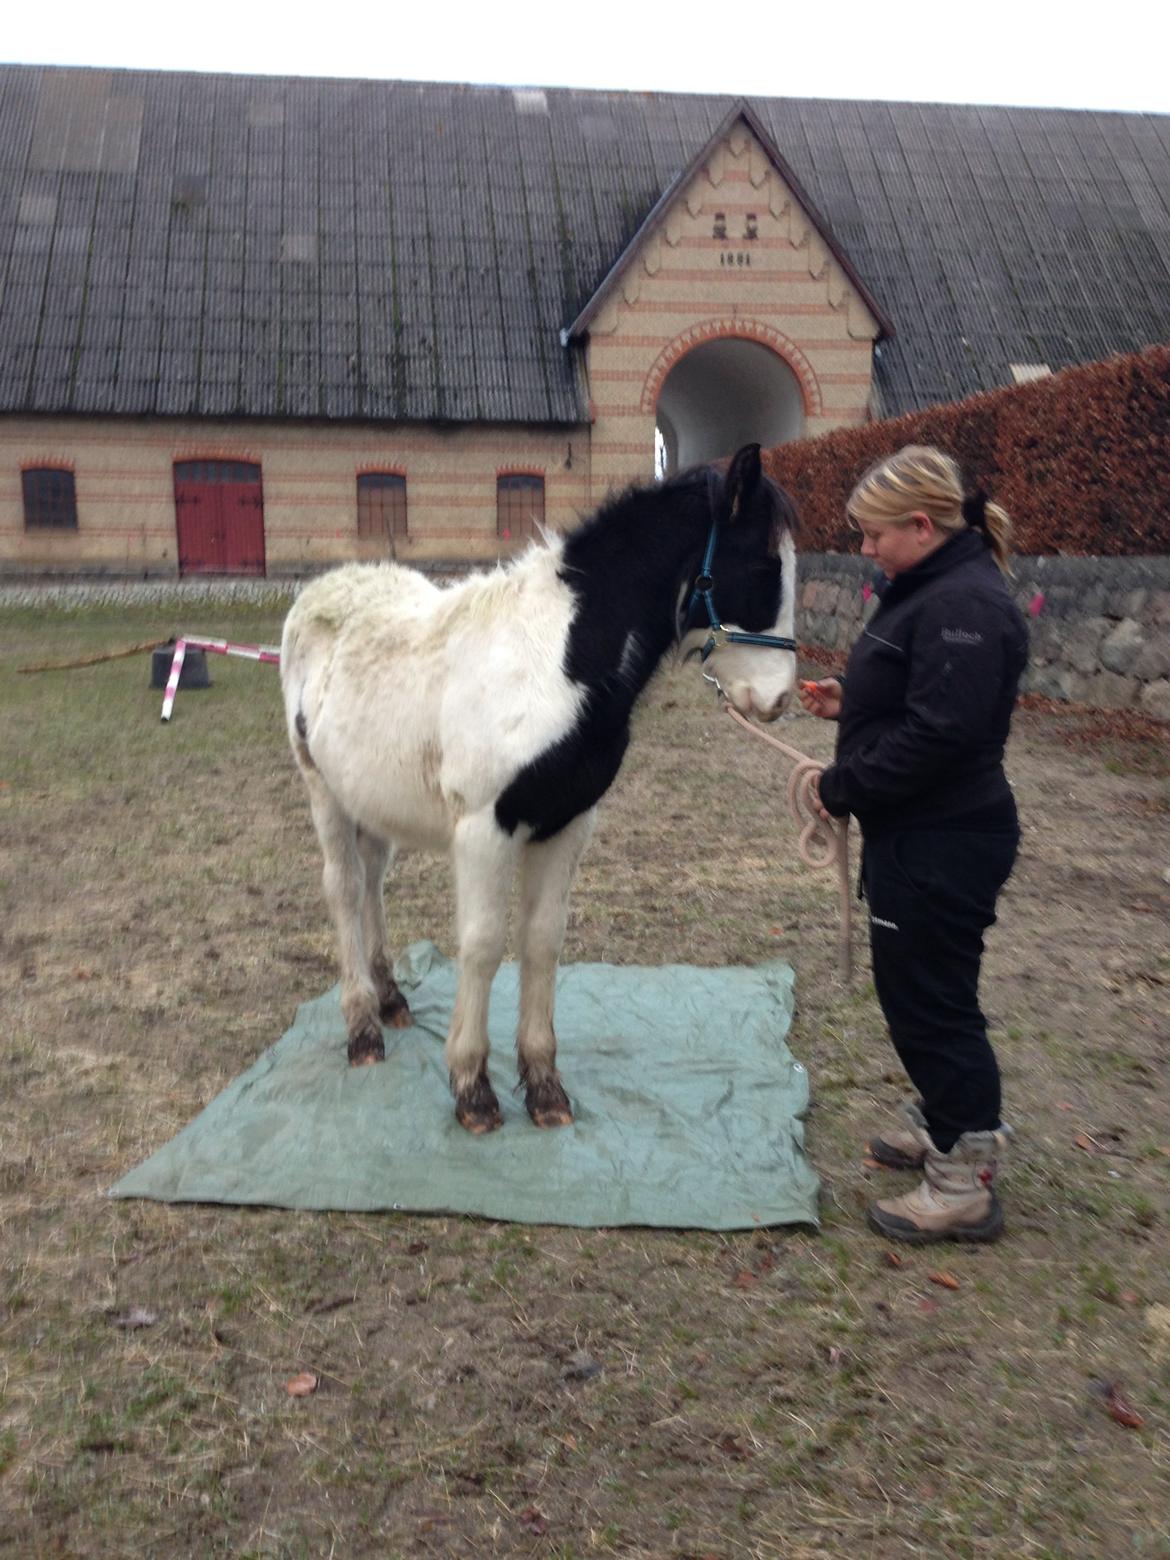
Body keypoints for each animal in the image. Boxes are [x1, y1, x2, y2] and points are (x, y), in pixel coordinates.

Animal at [279, 439, 804, 1135]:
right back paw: (363, 1029)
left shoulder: (568, 823)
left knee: (371, 883)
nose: (777, 699)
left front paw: (545, 1086)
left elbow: (542, 942)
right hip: (324, 794)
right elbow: (481, 946)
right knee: (342, 888)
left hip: (372, 799)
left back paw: (391, 1000)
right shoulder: (485, 829)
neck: (555, 660)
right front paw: (473, 1089)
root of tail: (324, 588)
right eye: (766, 563)